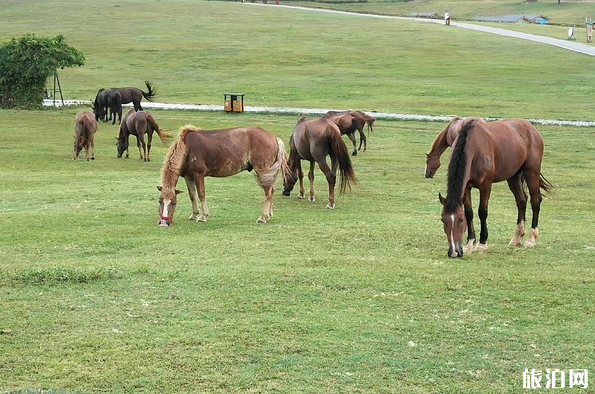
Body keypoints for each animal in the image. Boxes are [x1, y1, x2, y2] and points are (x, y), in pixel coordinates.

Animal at [158, 124, 288, 226]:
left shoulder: (198, 175)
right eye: (160, 201)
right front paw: (194, 215)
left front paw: (203, 216)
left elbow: (201, 195)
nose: (164, 223)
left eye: (173, 203)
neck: (188, 148)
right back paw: (268, 215)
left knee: (268, 192)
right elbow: (192, 196)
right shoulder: (188, 177)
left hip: (263, 171)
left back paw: (263, 217)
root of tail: (274, 137)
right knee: (271, 190)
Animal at [438, 117, 556, 258]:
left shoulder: (486, 186)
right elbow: (469, 212)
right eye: (443, 220)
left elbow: (482, 212)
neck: (473, 147)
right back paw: (517, 238)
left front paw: (482, 244)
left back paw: (531, 239)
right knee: (521, 201)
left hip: (531, 172)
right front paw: (469, 244)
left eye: (460, 221)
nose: (454, 252)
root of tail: (531, 128)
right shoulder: (466, 187)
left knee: (535, 201)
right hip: (513, 176)